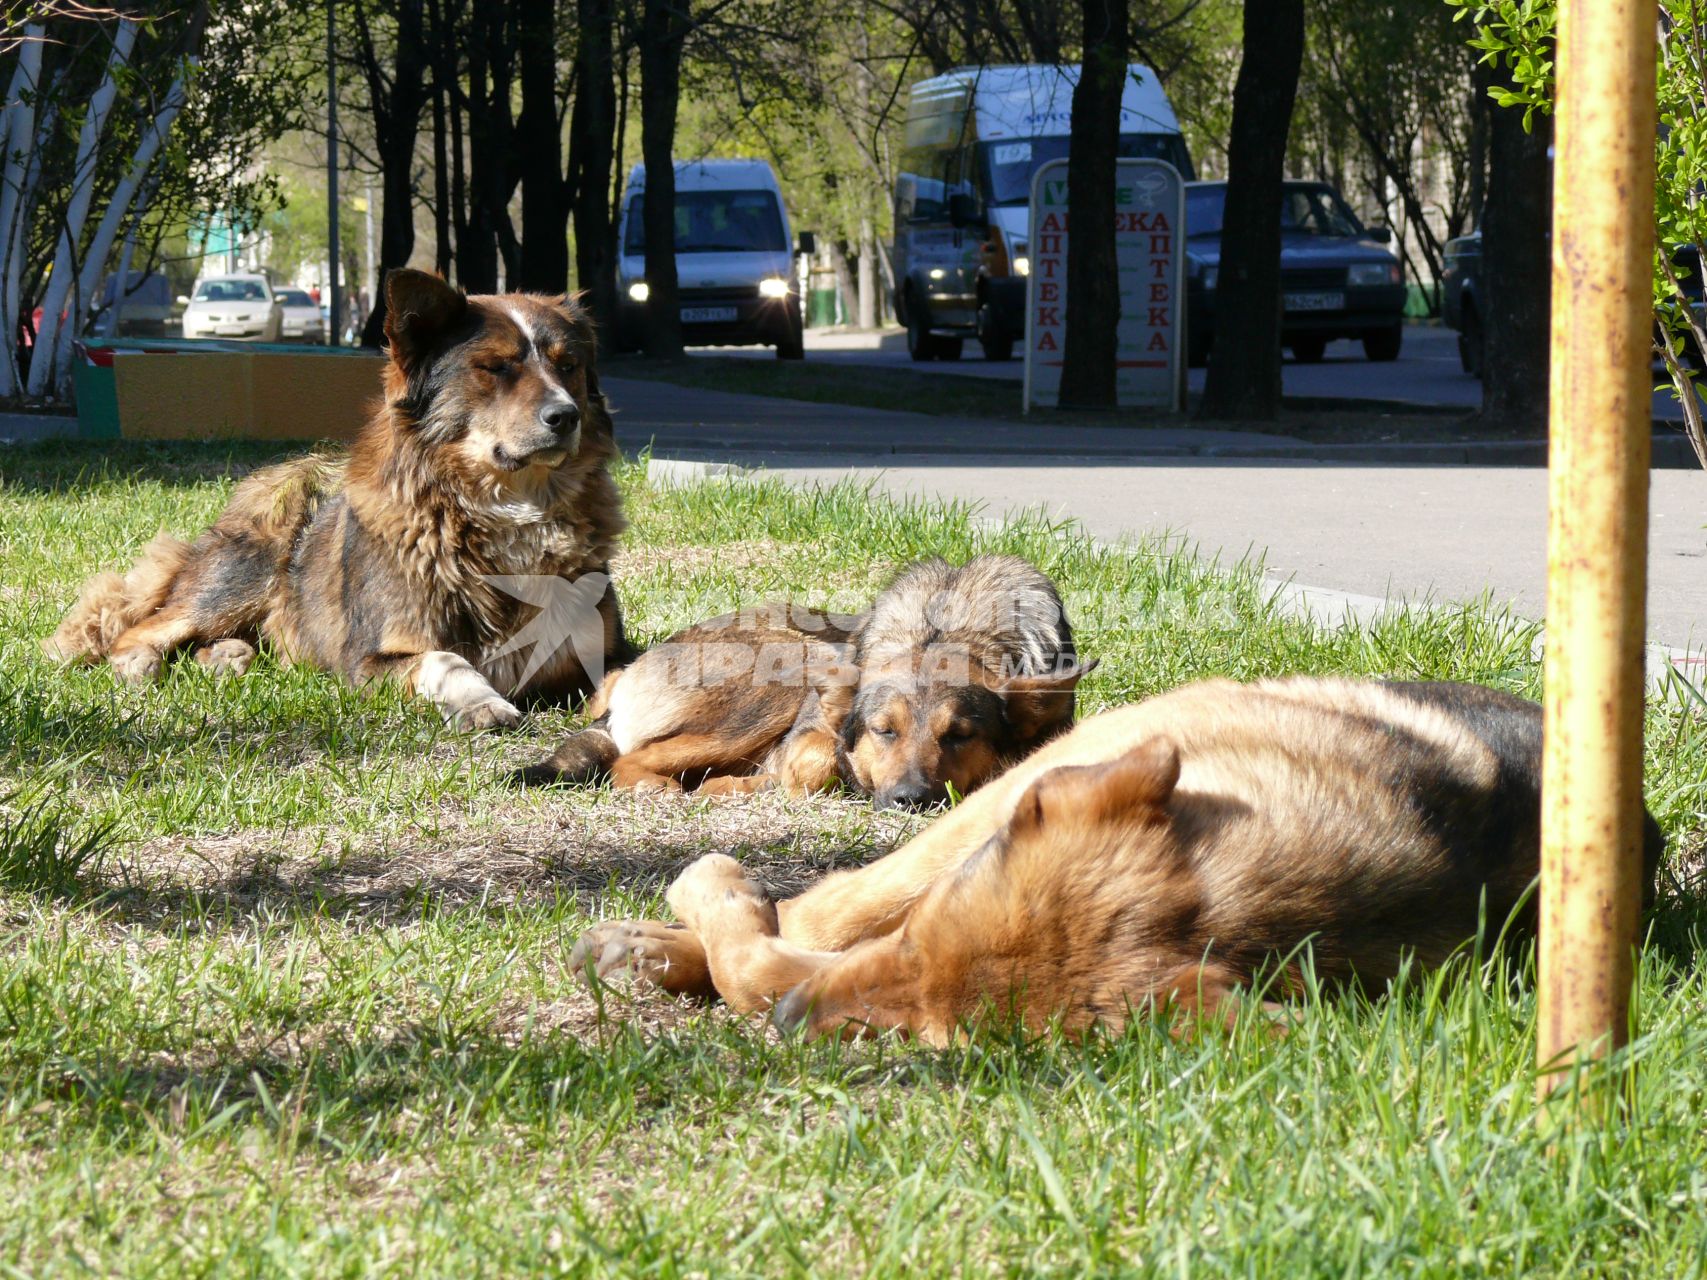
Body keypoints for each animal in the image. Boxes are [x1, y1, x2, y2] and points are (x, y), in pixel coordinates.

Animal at [45, 267, 628, 730]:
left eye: (568, 366)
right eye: (496, 367)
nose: (565, 416)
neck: (507, 512)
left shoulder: (602, 648)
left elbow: (631, 672)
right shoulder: (368, 663)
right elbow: (445, 659)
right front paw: (480, 702)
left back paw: (229, 656)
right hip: (243, 573)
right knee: (140, 630)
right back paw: (142, 664)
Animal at [515, 556, 1092, 805]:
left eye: (960, 735)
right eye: (884, 731)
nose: (911, 799)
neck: (948, 627)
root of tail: (626, 673)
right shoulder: (813, 731)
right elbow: (817, 764)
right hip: (789, 667)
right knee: (630, 762)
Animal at [576, 675, 1666, 1044]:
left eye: (935, 1042)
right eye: (920, 937)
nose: (796, 1030)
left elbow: (773, 959)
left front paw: (709, 927)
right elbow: (799, 933)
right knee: (825, 904)